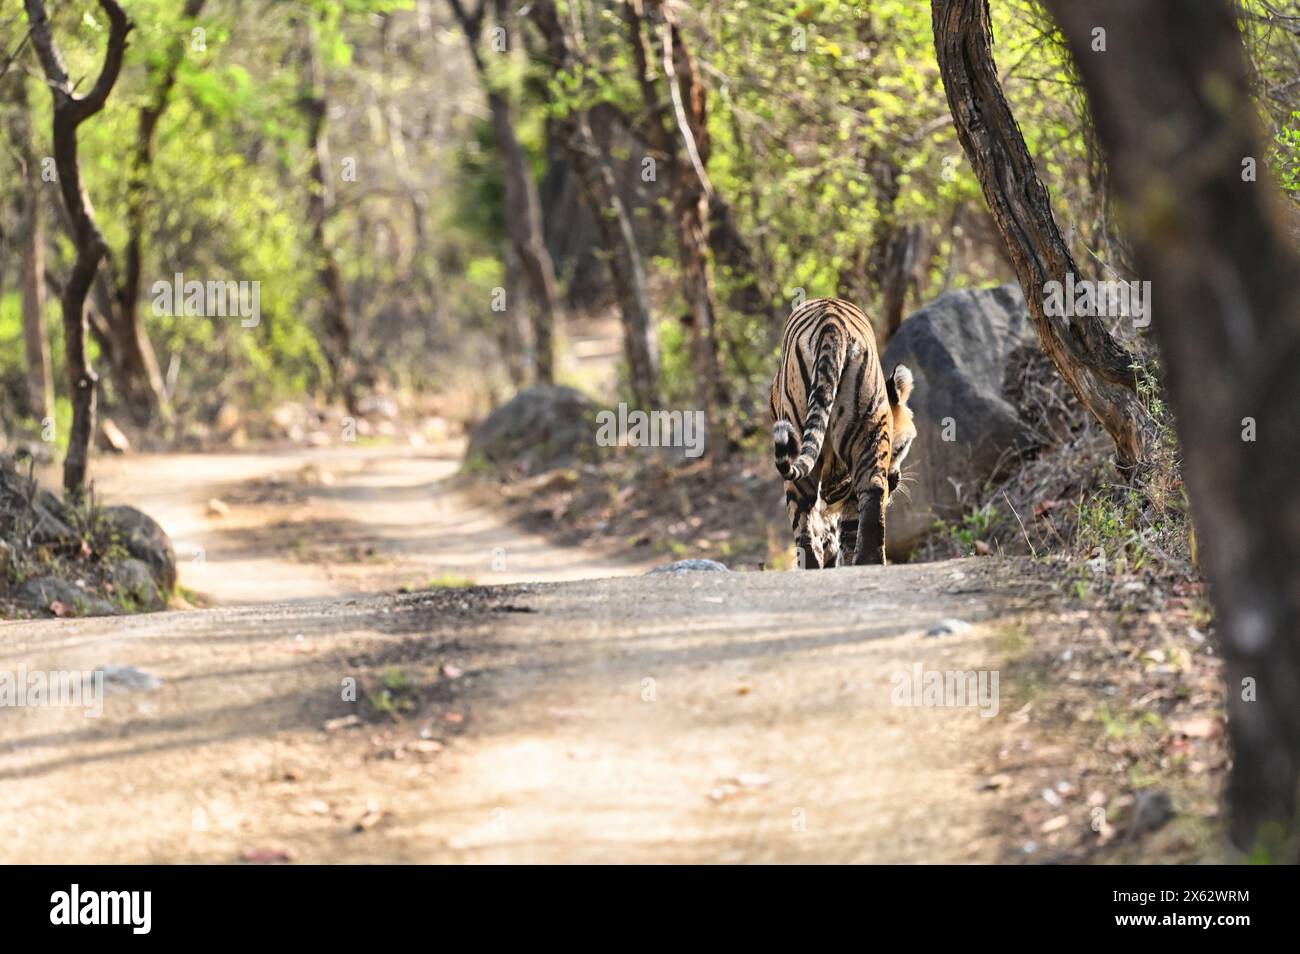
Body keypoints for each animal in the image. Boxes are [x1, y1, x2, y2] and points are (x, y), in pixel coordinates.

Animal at [769, 298, 915, 566]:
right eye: (902, 448)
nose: (895, 480)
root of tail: (831, 324)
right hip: (868, 433)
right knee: (873, 491)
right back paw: (869, 564)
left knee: (806, 525)